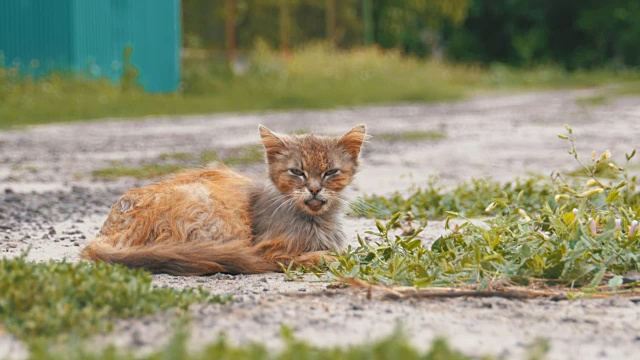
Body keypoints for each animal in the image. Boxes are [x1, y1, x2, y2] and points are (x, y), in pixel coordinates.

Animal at [81, 124, 364, 276]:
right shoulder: (268, 247)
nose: (314, 189)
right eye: (297, 172)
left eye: (330, 172)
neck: (316, 221)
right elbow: (298, 257)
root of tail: (105, 233)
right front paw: (325, 258)